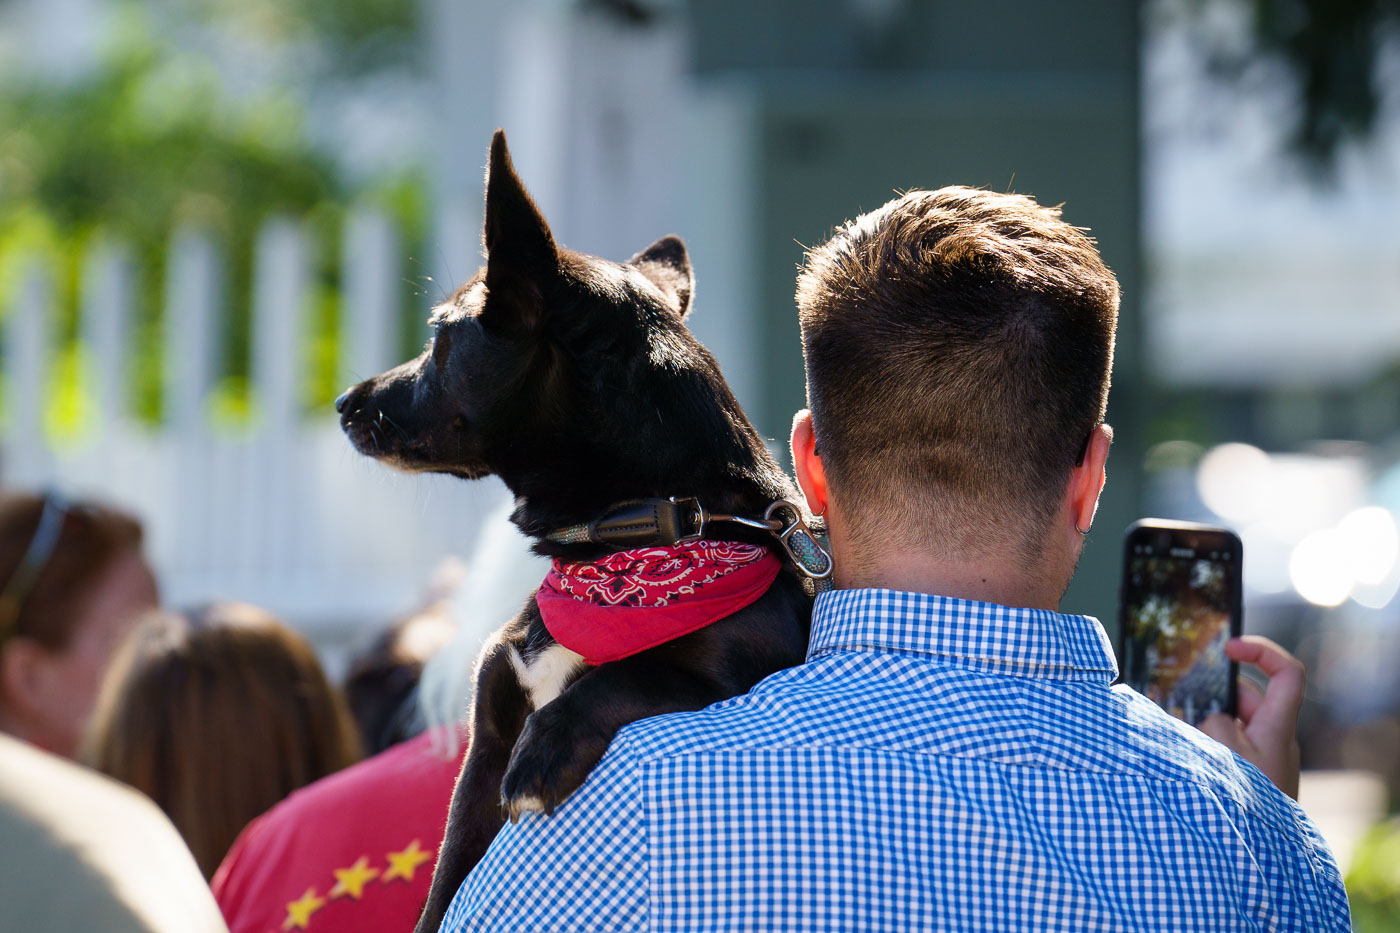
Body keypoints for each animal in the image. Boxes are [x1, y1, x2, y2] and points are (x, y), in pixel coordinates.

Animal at [337, 132, 817, 930]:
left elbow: (633, 672)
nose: (346, 401)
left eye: (439, 337)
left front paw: (550, 744)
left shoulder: (739, 682)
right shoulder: (482, 755)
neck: (631, 550)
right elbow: (441, 892)